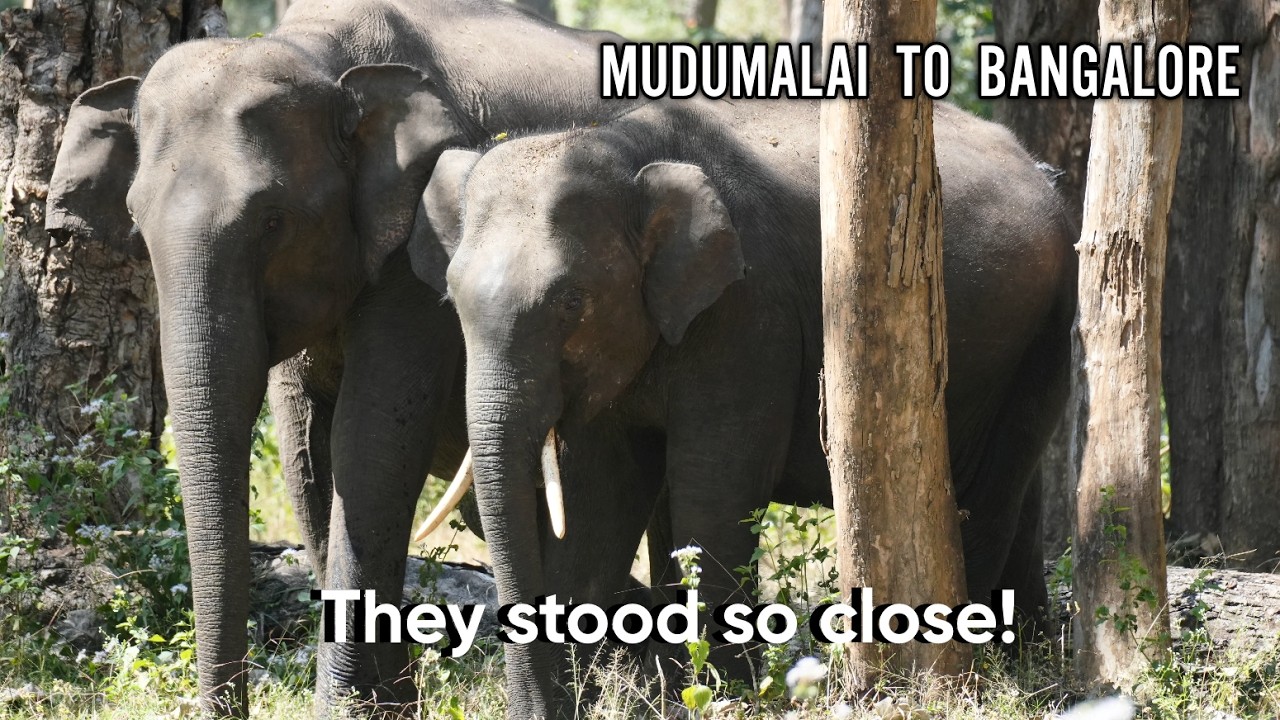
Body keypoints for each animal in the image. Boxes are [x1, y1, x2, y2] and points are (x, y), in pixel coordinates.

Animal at [44, 0, 648, 714]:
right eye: (136, 220)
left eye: (272, 221)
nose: (226, 706)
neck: (321, 54)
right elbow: (307, 445)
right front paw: (388, 706)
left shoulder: (416, 252)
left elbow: (371, 440)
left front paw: (353, 709)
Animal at [410, 97, 1077, 719]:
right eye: (453, 300)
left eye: (572, 301)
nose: (537, 708)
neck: (625, 149)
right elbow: (599, 495)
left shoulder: (751, 315)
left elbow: (714, 483)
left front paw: (711, 694)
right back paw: (1034, 653)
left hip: (1046, 328)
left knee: (992, 491)